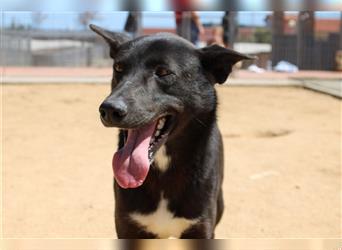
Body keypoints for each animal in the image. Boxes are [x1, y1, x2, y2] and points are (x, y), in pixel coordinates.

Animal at [91, 24, 251, 239]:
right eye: (118, 68)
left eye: (163, 72)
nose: (109, 109)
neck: (163, 170)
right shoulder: (127, 226)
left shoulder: (201, 228)